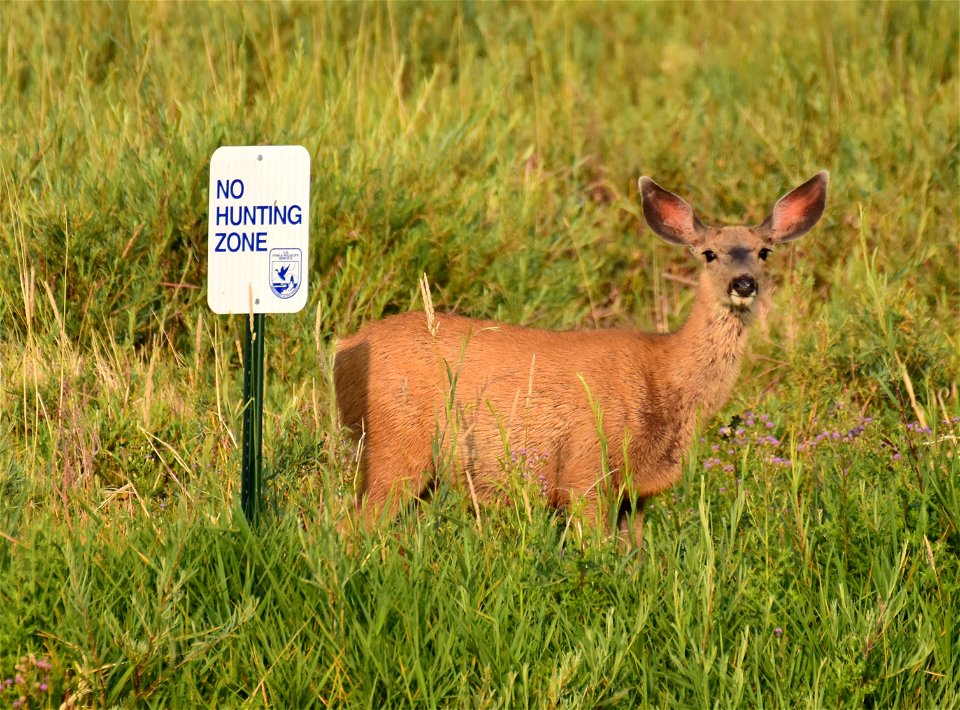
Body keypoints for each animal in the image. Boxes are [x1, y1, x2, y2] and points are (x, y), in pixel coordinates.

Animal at [334, 171, 828, 544]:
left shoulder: (637, 494)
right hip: (397, 446)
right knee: (351, 526)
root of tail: (341, 350)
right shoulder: (583, 470)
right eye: (709, 253)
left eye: (764, 251)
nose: (744, 283)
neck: (664, 374)